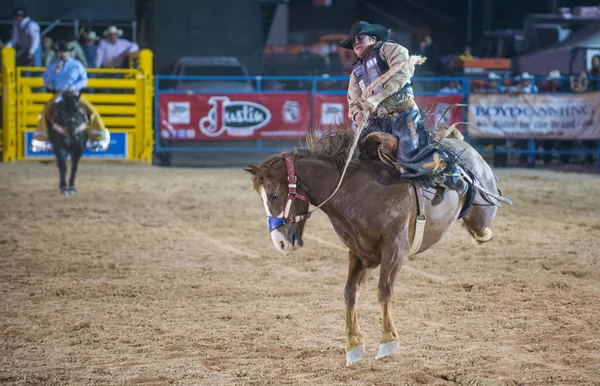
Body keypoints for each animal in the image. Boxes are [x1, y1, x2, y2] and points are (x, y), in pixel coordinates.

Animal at [243, 126, 506, 364]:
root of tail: (459, 143)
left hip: (482, 210)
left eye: (274, 195)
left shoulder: (394, 249)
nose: (280, 242)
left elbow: (384, 291)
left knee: (483, 219)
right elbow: (350, 292)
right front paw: (353, 345)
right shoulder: (361, 254)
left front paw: (388, 341)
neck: (357, 191)